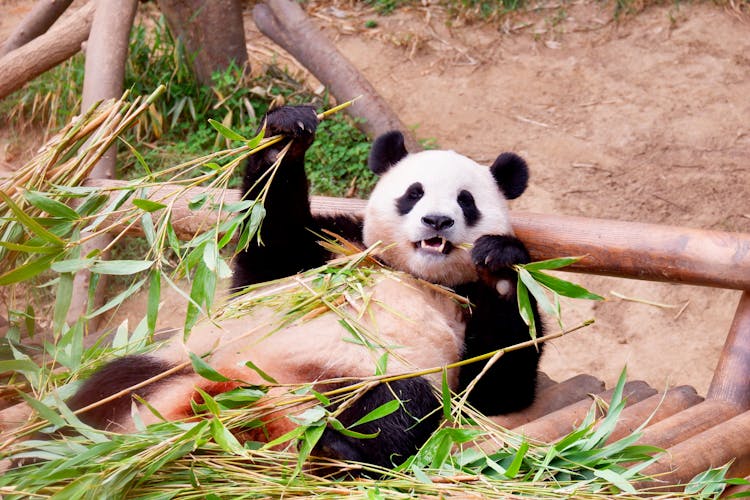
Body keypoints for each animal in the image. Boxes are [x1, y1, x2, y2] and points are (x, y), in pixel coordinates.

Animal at [67, 104, 544, 468]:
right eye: (414, 192)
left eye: (466, 200)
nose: (437, 221)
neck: (413, 272)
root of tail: (245, 409)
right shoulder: (333, 247)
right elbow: (267, 246)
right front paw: (285, 135)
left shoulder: (462, 307)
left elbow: (500, 384)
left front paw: (501, 266)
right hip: (179, 362)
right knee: (102, 392)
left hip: (366, 377)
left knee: (396, 409)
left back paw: (336, 449)